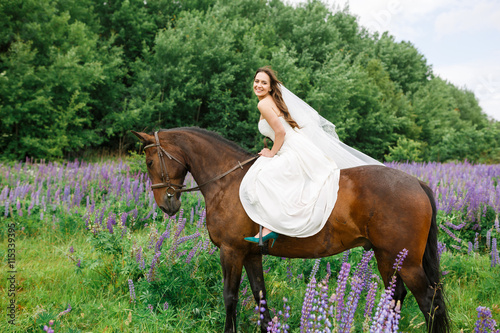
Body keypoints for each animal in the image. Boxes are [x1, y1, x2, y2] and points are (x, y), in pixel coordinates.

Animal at [131, 127, 452, 332]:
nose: (166, 204)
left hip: (405, 262)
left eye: (150, 160)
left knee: (429, 302)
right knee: (395, 298)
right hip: (388, 259)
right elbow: (260, 296)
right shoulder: (251, 254)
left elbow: (230, 297)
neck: (229, 181)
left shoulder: (231, 252)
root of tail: (416, 183)